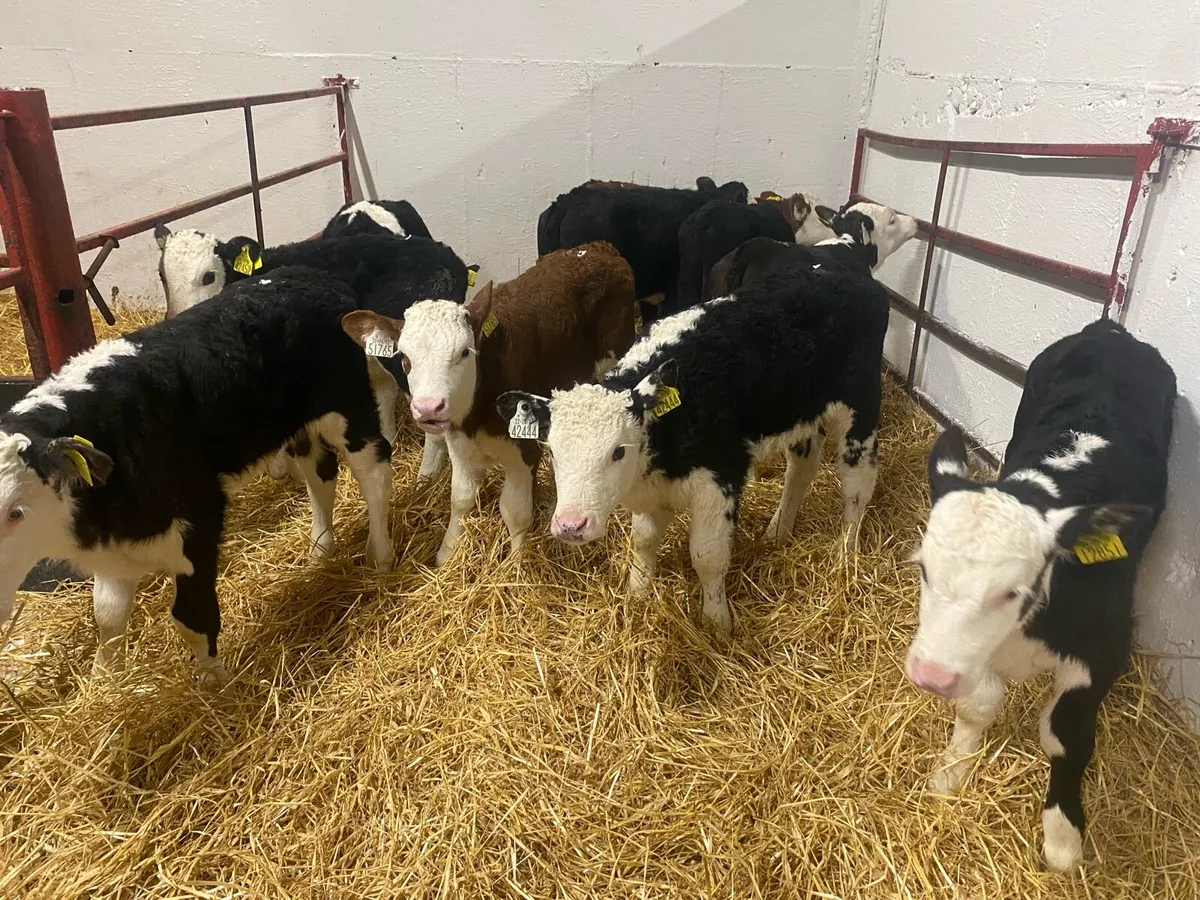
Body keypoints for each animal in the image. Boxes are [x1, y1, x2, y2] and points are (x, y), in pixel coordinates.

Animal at [0, 268, 395, 685]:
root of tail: (312, 276)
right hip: (298, 424)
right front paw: (104, 680)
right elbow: (106, 615)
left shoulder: (199, 512)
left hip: (348, 405)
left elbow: (190, 616)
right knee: (320, 471)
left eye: (16, 512)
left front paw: (216, 684)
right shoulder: (116, 546)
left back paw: (380, 557)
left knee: (374, 470)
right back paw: (320, 549)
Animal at [342, 242, 637, 565]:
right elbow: (460, 498)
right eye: (404, 358)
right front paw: (446, 555)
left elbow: (515, 511)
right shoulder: (459, 444)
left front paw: (516, 563)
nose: (429, 408)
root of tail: (596, 248)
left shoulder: (524, 450)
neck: (478, 415)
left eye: (464, 352)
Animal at [498, 267, 890, 637]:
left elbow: (708, 556)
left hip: (861, 405)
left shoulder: (721, 477)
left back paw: (846, 554)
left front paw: (716, 622)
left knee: (857, 483)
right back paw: (779, 531)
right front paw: (637, 594)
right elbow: (643, 540)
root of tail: (852, 277)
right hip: (803, 413)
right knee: (802, 465)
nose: (570, 525)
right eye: (553, 451)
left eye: (618, 451)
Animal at [906, 318, 1176, 872]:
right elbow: (978, 704)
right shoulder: (978, 653)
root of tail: (1112, 329)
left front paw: (1063, 836)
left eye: (1013, 591)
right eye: (924, 569)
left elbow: (1065, 735)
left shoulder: (1105, 648)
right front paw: (950, 772)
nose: (931, 675)